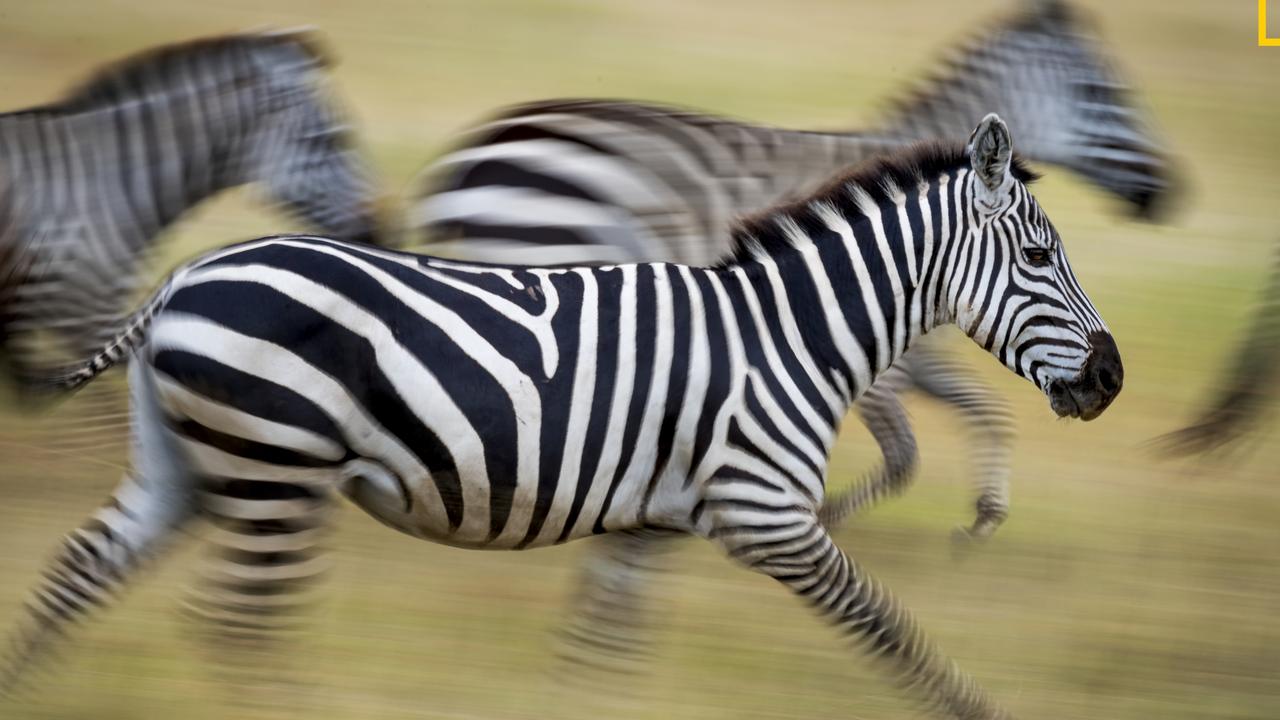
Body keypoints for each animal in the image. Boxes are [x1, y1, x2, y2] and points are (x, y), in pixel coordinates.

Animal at [0, 113, 1121, 717]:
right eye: (1039, 255)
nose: (1110, 379)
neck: (788, 334)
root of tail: (185, 277)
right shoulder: (767, 516)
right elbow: (888, 628)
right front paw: (977, 707)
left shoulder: (654, 519)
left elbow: (601, 642)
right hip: (274, 466)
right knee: (239, 624)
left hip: (189, 466)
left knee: (80, 577)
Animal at [407, 0, 1172, 671]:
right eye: (1104, 93)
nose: (1167, 194)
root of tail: (470, 152)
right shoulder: (869, 362)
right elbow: (907, 455)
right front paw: (825, 517)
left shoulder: (910, 356)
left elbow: (983, 414)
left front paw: (982, 514)